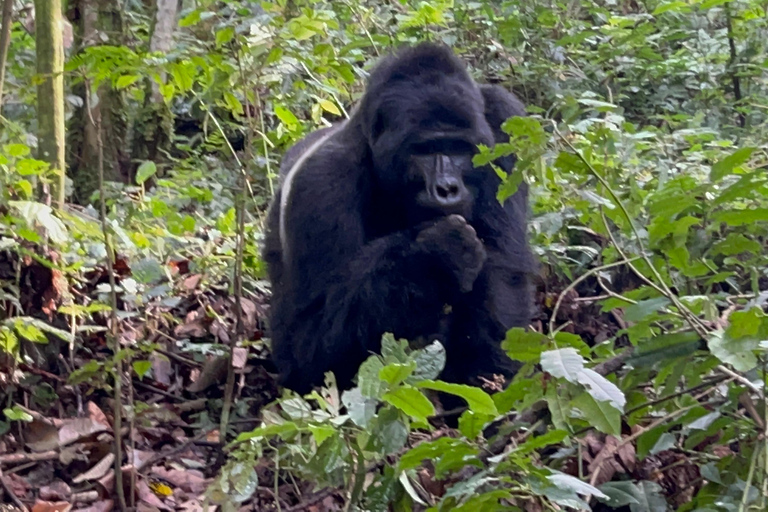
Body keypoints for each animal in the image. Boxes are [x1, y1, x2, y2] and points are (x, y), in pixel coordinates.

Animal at [264, 43, 536, 396]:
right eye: (423, 151)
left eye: (459, 149)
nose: (447, 188)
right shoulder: (321, 179)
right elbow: (311, 346)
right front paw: (434, 256)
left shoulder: (504, 121)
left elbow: (504, 265)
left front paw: (494, 378)